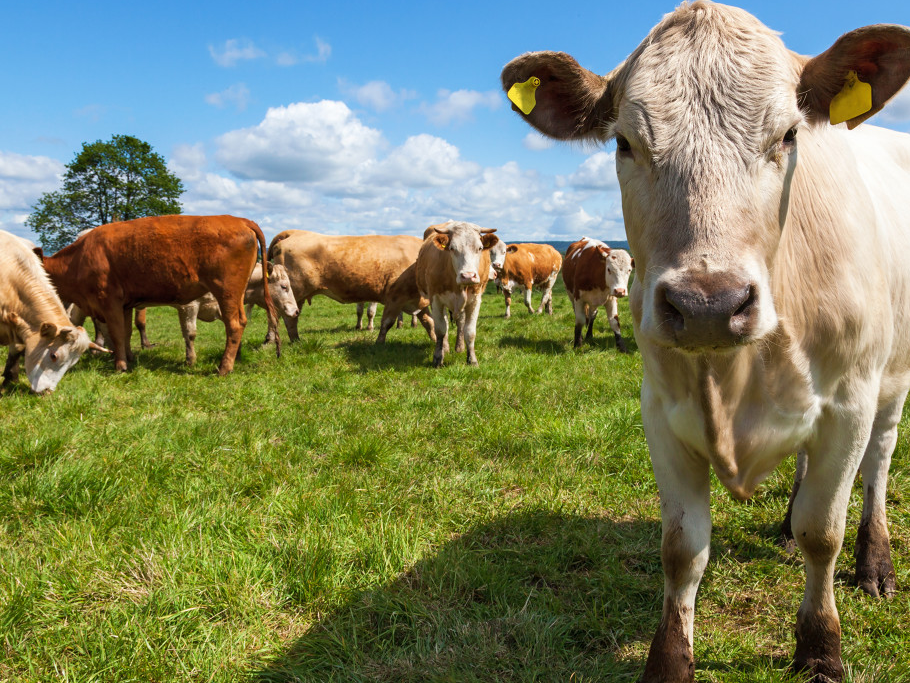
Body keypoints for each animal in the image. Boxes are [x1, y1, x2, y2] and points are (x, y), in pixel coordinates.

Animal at [41, 215, 278, 376]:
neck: (79, 259)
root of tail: (239, 220)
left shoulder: (109, 301)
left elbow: (116, 333)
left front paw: (120, 366)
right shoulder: (125, 304)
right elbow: (125, 333)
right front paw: (130, 358)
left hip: (226, 291)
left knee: (234, 325)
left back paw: (223, 367)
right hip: (235, 295)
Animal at [268, 231, 434, 348]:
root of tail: (294, 232)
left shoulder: (417, 301)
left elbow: (429, 322)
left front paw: (435, 340)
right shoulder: (395, 296)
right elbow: (387, 323)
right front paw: (379, 343)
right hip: (292, 293)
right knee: (286, 317)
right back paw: (293, 340)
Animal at [418, 222, 502, 366]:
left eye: (480, 248)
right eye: (452, 248)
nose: (468, 276)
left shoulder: (475, 300)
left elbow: (470, 331)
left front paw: (472, 359)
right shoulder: (436, 299)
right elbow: (440, 330)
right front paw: (438, 358)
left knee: (461, 324)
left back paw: (460, 347)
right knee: (446, 323)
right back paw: (445, 348)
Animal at [502, 2, 910, 680]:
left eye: (788, 136)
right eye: (625, 142)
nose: (707, 307)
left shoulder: (848, 404)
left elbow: (823, 532)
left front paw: (821, 647)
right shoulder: (661, 411)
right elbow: (682, 548)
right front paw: (669, 660)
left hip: (892, 381)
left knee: (877, 463)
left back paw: (873, 560)